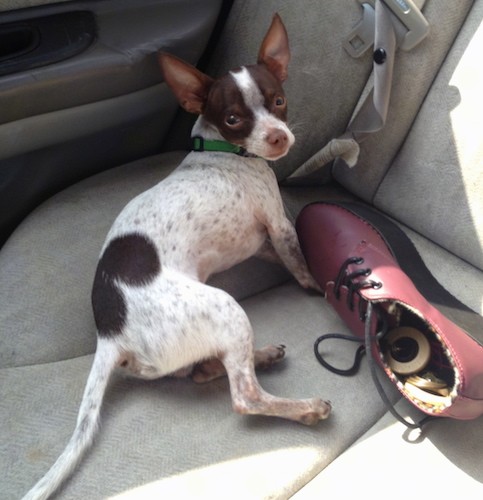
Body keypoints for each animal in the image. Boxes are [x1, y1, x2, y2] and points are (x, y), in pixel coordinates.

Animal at [24, 14, 330, 500]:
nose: (279, 138)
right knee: (244, 396)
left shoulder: (263, 241)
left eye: (279, 101)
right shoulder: (278, 225)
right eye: (233, 118)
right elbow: (300, 264)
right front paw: (318, 286)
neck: (222, 151)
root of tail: (111, 334)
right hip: (225, 308)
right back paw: (303, 407)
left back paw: (260, 355)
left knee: (205, 372)